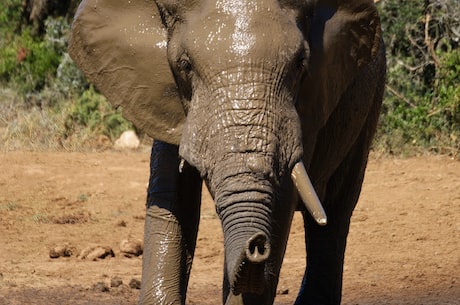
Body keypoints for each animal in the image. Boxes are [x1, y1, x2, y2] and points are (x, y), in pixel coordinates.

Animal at [68, 0, 384, 304]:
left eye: (300, 65)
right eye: (185, 65)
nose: (256, 244)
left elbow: (281, 201)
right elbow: (172, 196)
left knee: (336, 210)